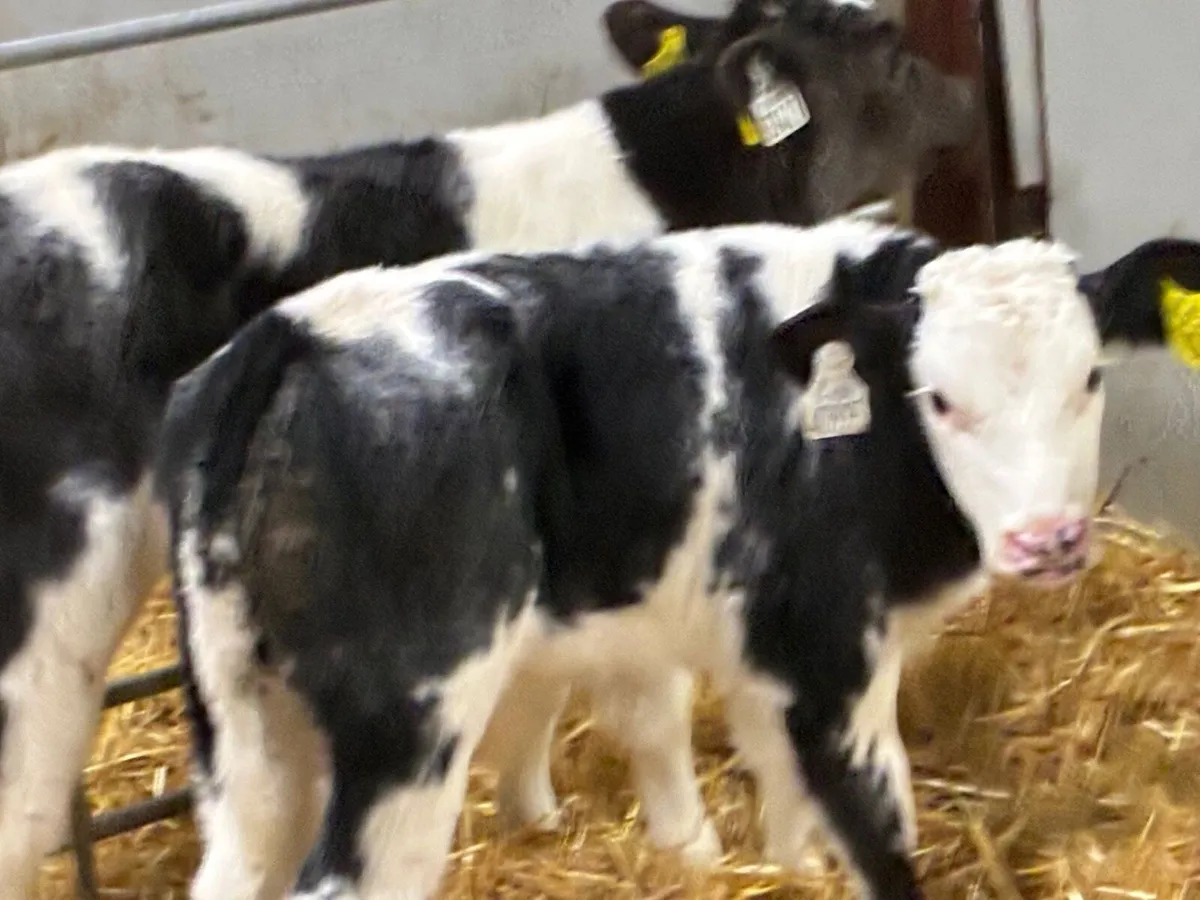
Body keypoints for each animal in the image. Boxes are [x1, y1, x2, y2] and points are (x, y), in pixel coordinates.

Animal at [0, 0, 984, 892]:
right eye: (888, 45)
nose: (967, 94)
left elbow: (538, 692)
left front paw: (532, 813)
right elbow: (651, 704)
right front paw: (691, 845)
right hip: (52, 600)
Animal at [157, 218, 1200, 900]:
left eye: (1091, 377)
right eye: (938, 398)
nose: (1046, 538)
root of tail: (300, 330)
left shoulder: (758, 648)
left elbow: (779, 782)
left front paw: (785, 869)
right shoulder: (828, 650)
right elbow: (873, 822)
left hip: (244, 724)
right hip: (410, 718)